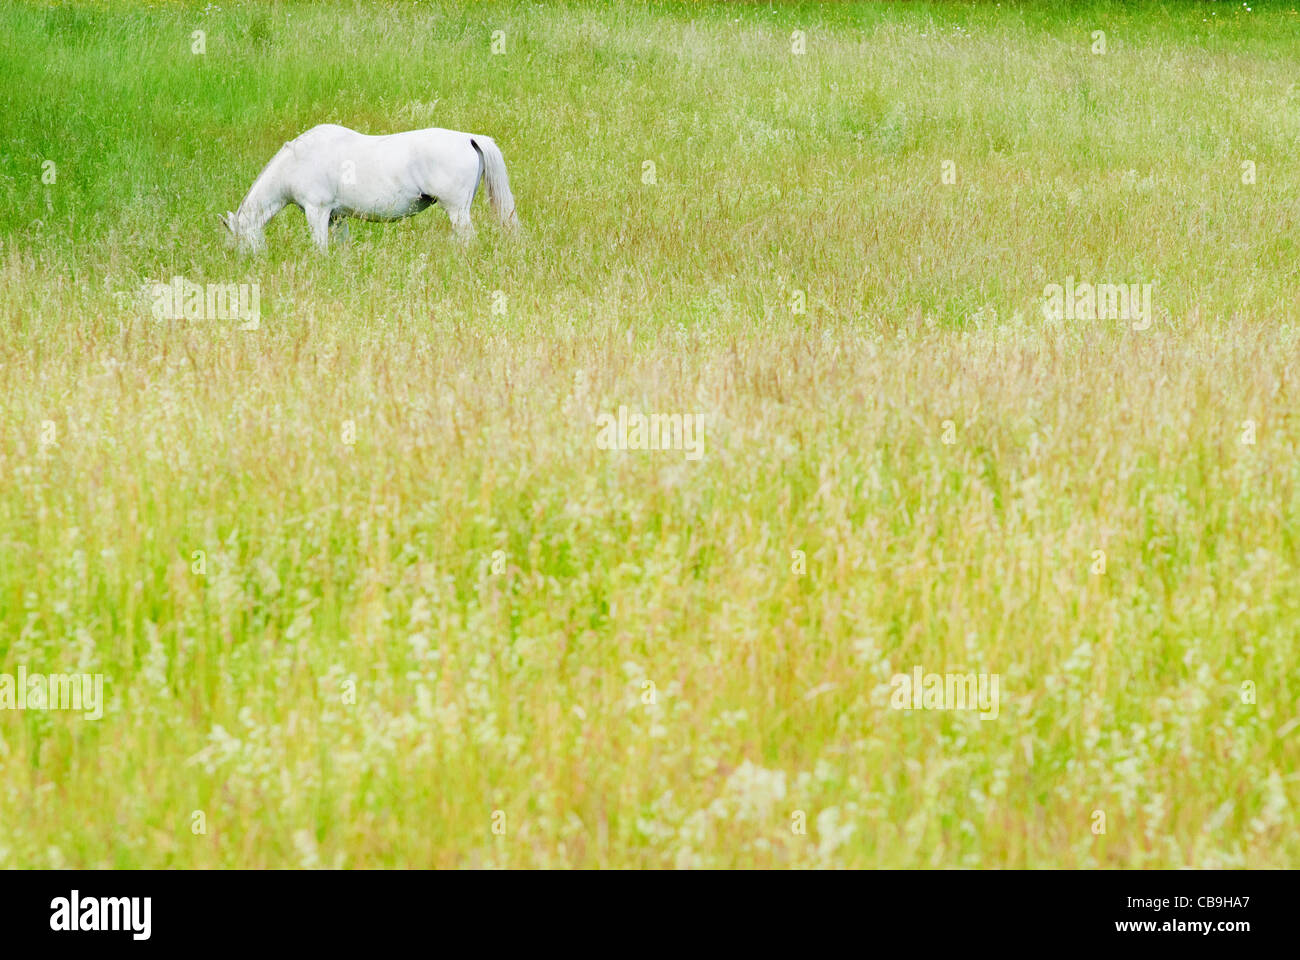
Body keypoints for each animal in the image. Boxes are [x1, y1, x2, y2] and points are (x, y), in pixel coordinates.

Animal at [219, 124, 519, 252]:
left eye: (237, 240)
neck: (297, 162)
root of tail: (469, 138)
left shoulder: (317, 212)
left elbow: (320, 247)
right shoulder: (336, 217)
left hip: (457, 211)